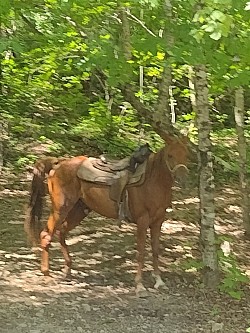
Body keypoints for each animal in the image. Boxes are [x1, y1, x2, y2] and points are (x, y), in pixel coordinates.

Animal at [25, 135, 189, 296]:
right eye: (170, 155)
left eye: (186, 155)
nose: (182, 176)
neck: (152, 180)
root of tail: (58, 164)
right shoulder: (143, 221)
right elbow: (141, 252)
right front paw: (139, 285)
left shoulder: (158, 221)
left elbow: (155, 250)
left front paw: (159, 281)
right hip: (61, 209)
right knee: (46, 234)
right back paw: (47, 274)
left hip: (79, 210)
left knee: (62, 232)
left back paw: (68, 269)